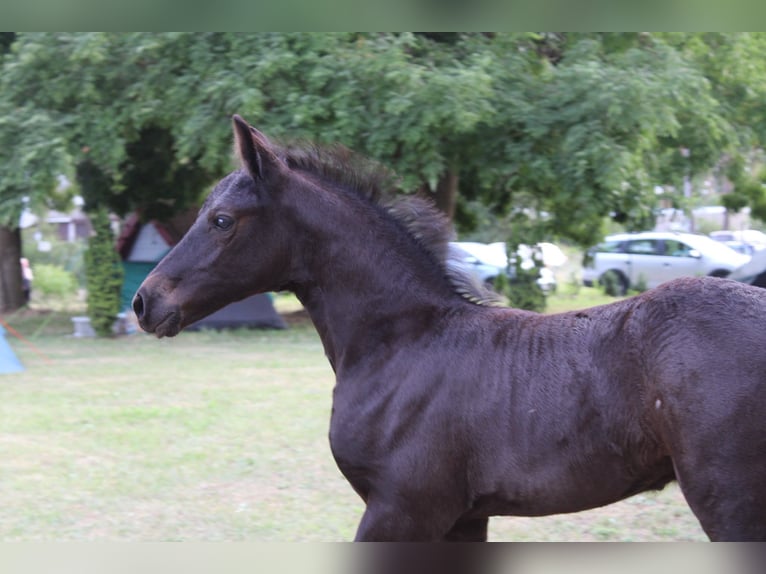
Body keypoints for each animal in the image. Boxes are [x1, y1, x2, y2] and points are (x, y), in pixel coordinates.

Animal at [133, 115, 766, 541]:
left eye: (222, 221)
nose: (145, 302)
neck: (403, 342)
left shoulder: (401, 509)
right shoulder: (464, 517)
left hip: (730, 502)